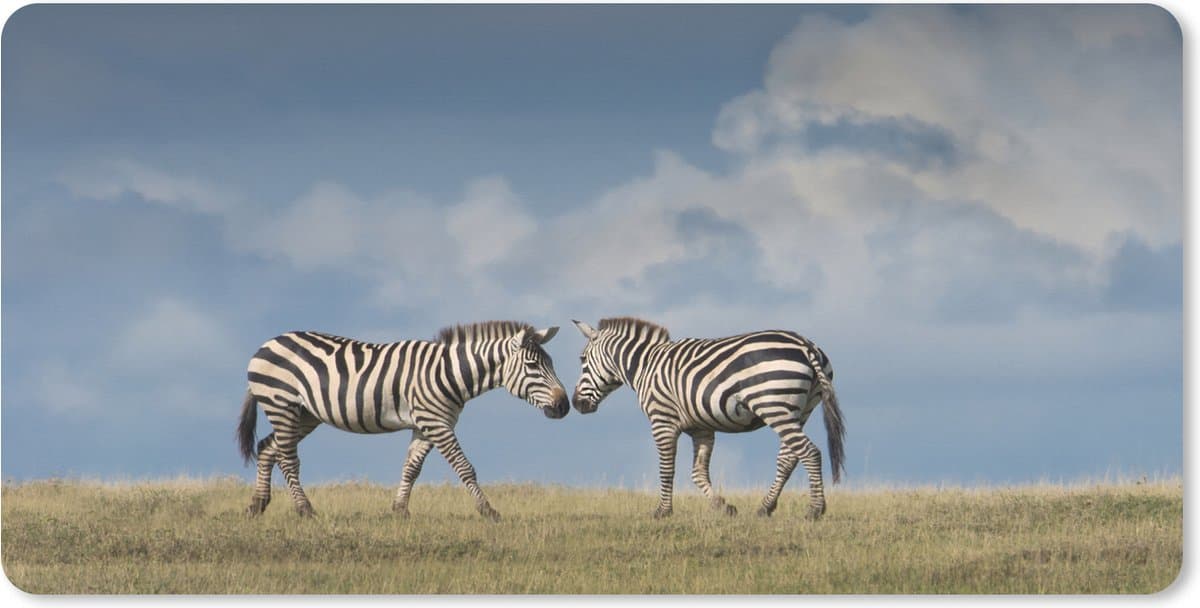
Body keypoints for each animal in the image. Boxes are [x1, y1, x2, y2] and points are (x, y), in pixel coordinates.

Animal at [236, 321, 569, 521]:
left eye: (551, 363)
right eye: (532, 366)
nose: (564, 406)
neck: (450, 373)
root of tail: (266, 344)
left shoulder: (425, 425)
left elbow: (411, 468)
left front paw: (399, 511)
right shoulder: (437, 423)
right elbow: (464, 468)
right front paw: (489, 511)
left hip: (304, 414)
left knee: (267, 448)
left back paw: (257, 505)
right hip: (282, 404)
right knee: (287, 458)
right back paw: (305, 510)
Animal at [570, 317, 845, 520]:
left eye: (582, 360)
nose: (575, 404)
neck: (645, 366)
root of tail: (806, 345)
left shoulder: (662, 420)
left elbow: (667, 469)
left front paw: (663, 511)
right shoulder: (701, 428)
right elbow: (698, 473)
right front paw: (724, 507)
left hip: (774, 406)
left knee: (809, 452)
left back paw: (815, 510)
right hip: (799, 409)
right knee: (788, 458)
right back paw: (765, 508)